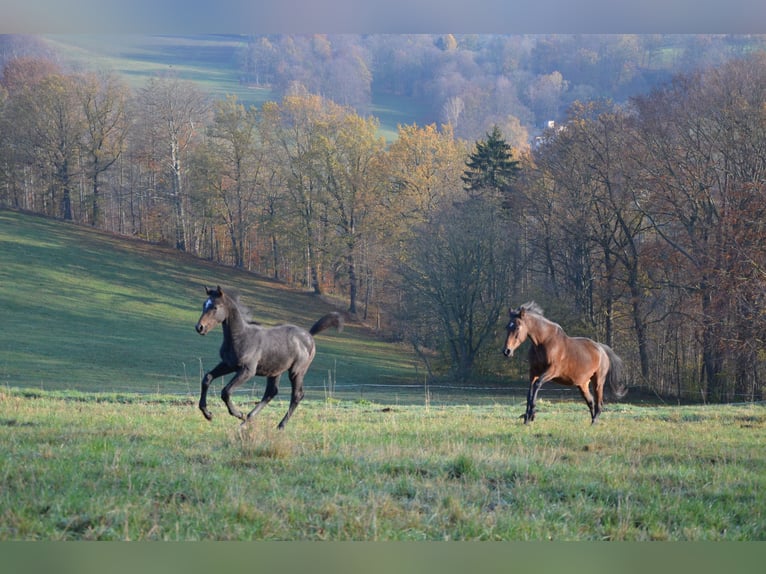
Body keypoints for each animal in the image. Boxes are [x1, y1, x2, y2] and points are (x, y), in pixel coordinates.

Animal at [196, 286, 344, 430]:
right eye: (204, 304)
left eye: (215, 307)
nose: (199, 327)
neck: (241, 337)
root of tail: (309, 335)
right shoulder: (228, 364)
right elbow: (207, 378)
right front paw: (208, 414)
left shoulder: (247, 371)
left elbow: (226, 391)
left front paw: (238, 414)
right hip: (275, 371)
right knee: (271, 392)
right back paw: (246, 422)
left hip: (296, 371)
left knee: (296, 395)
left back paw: (279, 426)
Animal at [504, 306, 632, 424]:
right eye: (507, 327)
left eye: (517, 327)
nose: (506, 351)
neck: (544, 342)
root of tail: (602, 349)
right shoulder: (533, 372)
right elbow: (529, 393)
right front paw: (527, 418)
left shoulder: (551, 371)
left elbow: (537, 385)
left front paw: (531, 415)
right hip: (582, 384)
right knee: (591, 402)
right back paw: (592, 422)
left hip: (598, 381)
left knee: (599, 403)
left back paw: (595, 422)